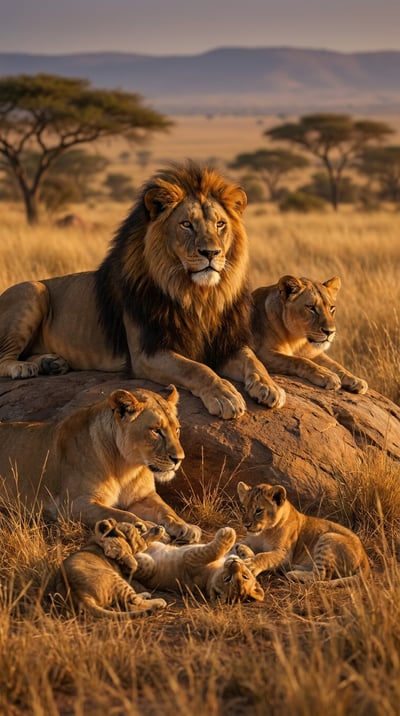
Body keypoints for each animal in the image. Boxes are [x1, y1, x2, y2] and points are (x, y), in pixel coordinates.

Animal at [0, 162, 285, 419]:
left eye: (220, 224)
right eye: (186, 224)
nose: (211, 253)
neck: (198, 296)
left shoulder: (225, 344)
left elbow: (253, 360)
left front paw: (270, 386)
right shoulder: (148, 353)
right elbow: (196, 369)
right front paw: (224, 396)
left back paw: (51, 363)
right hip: (33, 289)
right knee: (3, 358)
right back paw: (23, 368)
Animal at [0, 385, 201, 543]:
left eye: (177, 429)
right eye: (156, 431)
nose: (179, 459)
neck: (126, 466)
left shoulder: (143, 497)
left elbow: (166, 509)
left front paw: (185, 526)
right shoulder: (72, 505)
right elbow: (120, 513)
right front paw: (146, 526)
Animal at [234, 481, 370, 585]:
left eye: (258, 510)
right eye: (244, 509)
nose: (246, 525)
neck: (263, 533)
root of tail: (365, 558)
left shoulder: (284, 553)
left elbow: (264, 556)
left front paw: (250, 564)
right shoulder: (250, 540)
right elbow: (238, 543)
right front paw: (241, 549)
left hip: (328, 537)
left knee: (322, 575)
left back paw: (293, 573)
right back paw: (293, 568)